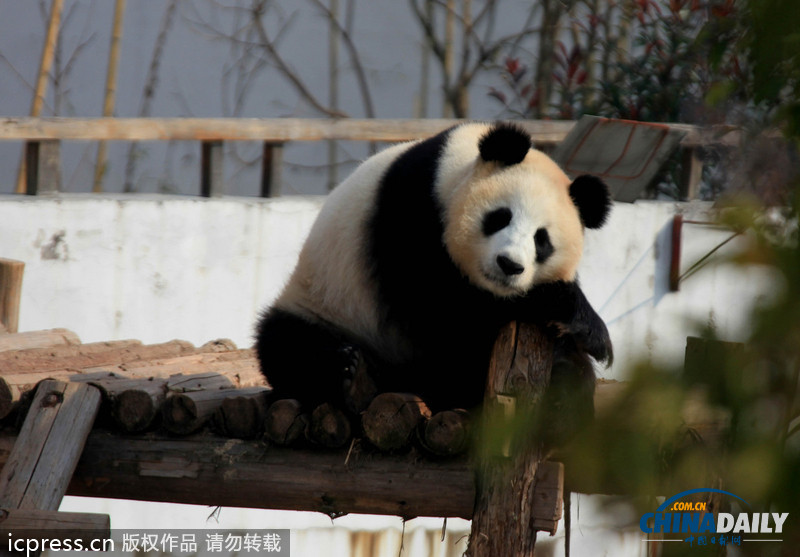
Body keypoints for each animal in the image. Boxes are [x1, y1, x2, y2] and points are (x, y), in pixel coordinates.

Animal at [256, 120, 612, 426]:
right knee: (289, 346)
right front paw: (564, 309)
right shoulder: (411, 217)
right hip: (328, 305)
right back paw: (355, 377)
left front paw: (582, 339)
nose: (509, 265)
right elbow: (444, 312)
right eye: (500, 217)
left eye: (542, 240)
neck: (449, 172)